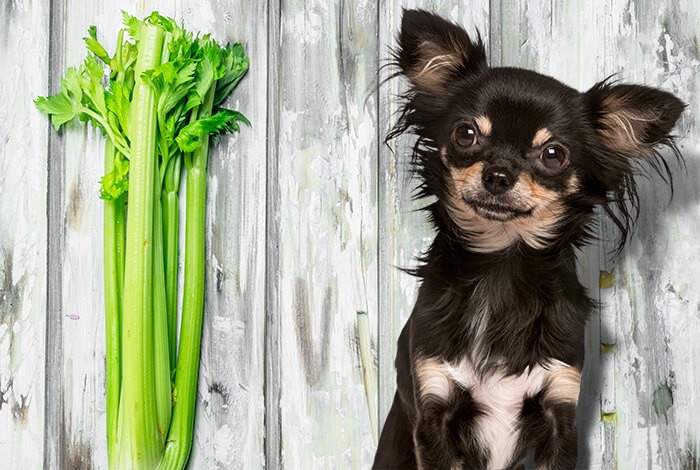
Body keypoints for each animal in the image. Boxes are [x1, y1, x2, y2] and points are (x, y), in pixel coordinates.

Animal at [374, 8, 688, 470]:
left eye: (553, 154)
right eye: (466, 134)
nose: (498, 175)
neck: (502, 267)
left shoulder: (561, 412)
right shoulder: (433, 413)